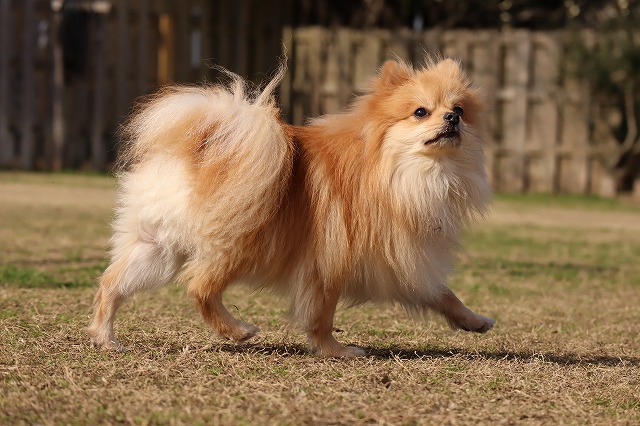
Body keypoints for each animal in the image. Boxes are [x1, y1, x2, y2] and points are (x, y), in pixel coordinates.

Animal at [87, 58, 495, 357]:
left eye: (459, 109)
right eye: (421, 112)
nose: (451, 118)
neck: (397, 169)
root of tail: (201, 150)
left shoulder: (403, 259)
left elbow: (442, 293)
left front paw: (474, 321)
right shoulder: (333, 260)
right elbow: (322, 315)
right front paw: (336, 351)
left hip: (158, 248)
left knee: (111, 284)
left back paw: (106, 338)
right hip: (240, 244)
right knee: (199, 286)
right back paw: (237, 330)